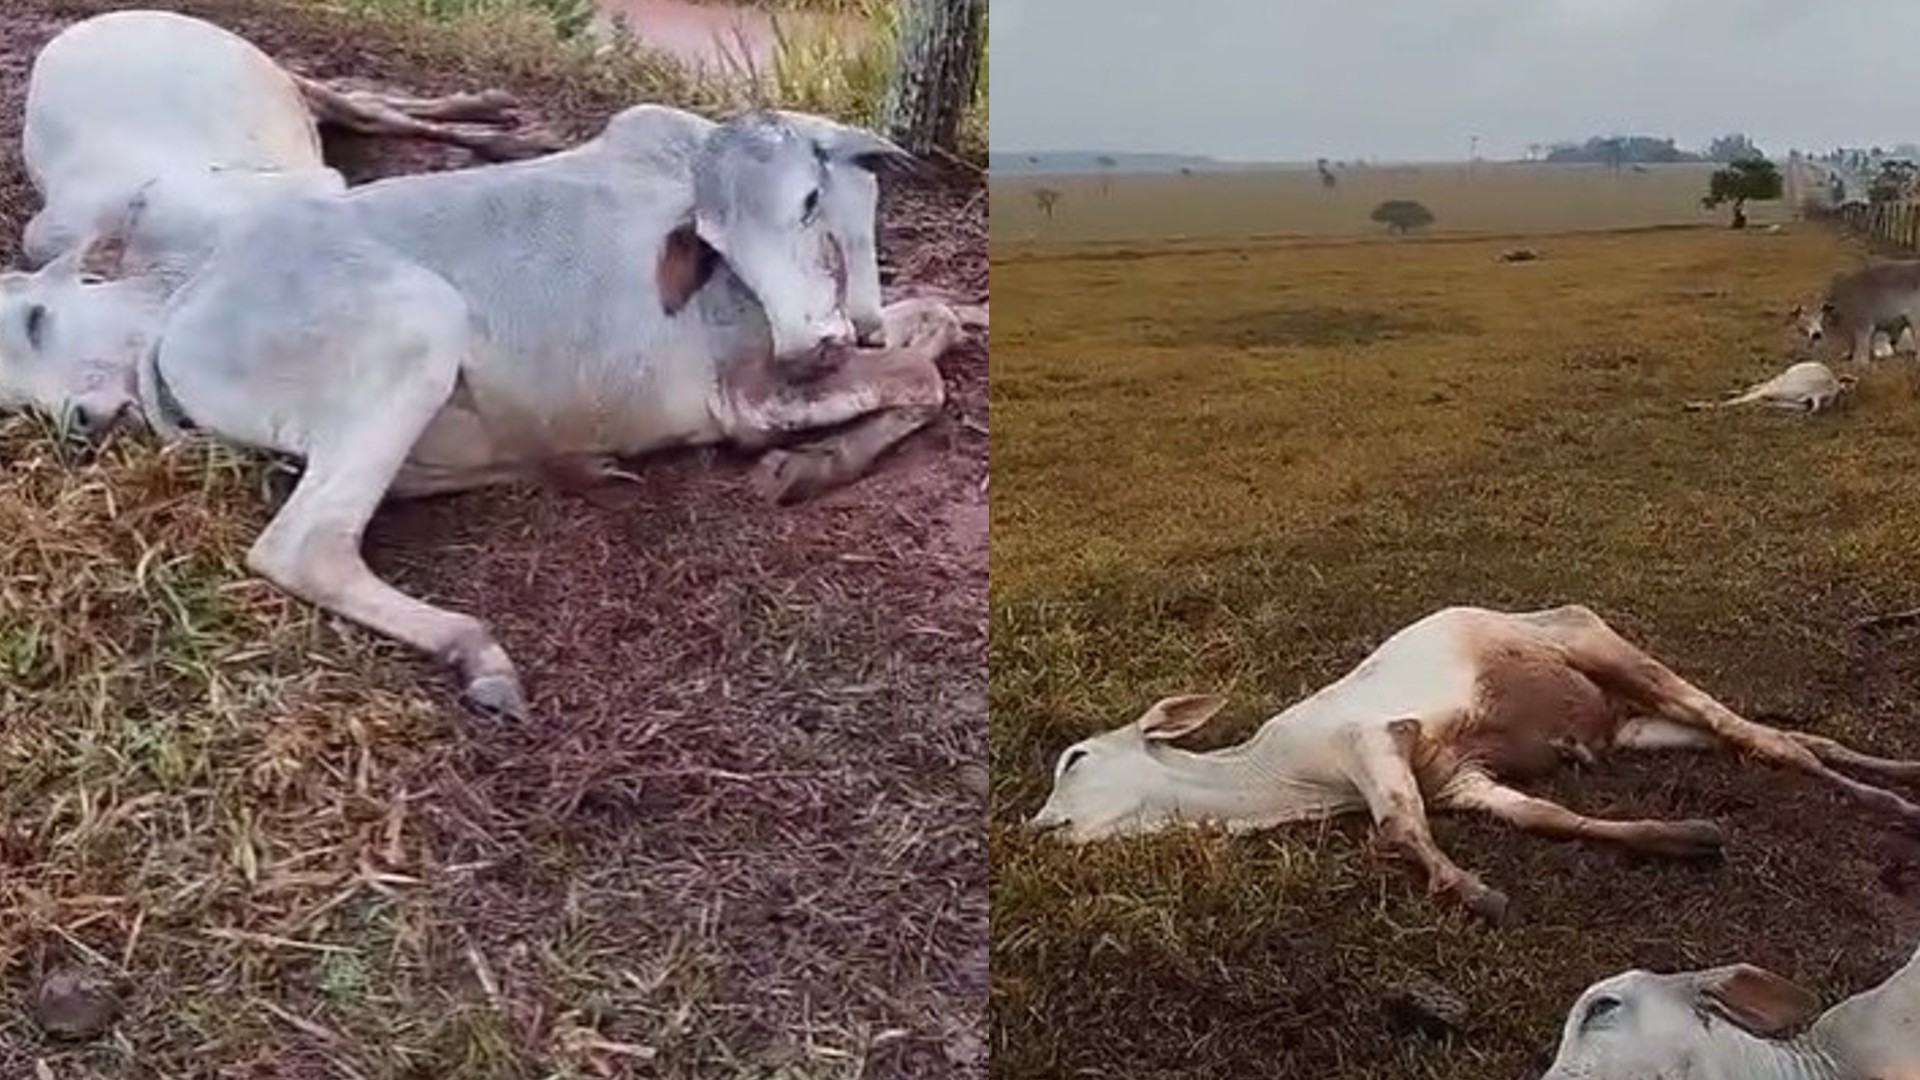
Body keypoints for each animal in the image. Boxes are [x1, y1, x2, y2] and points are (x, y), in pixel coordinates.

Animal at [0, 16, 983, 718]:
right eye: (715, 236)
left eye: (814, 198)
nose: (812, 343)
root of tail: (178, 315)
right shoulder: (744, 389)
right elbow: (916, 378)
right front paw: (808, 467)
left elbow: (930, 324)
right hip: (416, 330)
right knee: (304, 545)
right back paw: (479, 651)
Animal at [1029, 599, 1920, 922]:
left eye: (1075, 757)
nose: (1036, 827)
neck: (1286, 777)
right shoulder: (1461, 779)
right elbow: (1549, 815)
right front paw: (1689, 838)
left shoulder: (1375, 739)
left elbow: (1397, 828)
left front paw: (1477, 894)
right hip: (1639, 726)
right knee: (1776, 738)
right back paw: (1902, 779)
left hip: (1606, 649)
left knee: (1766, 738)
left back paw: (1894, 807)